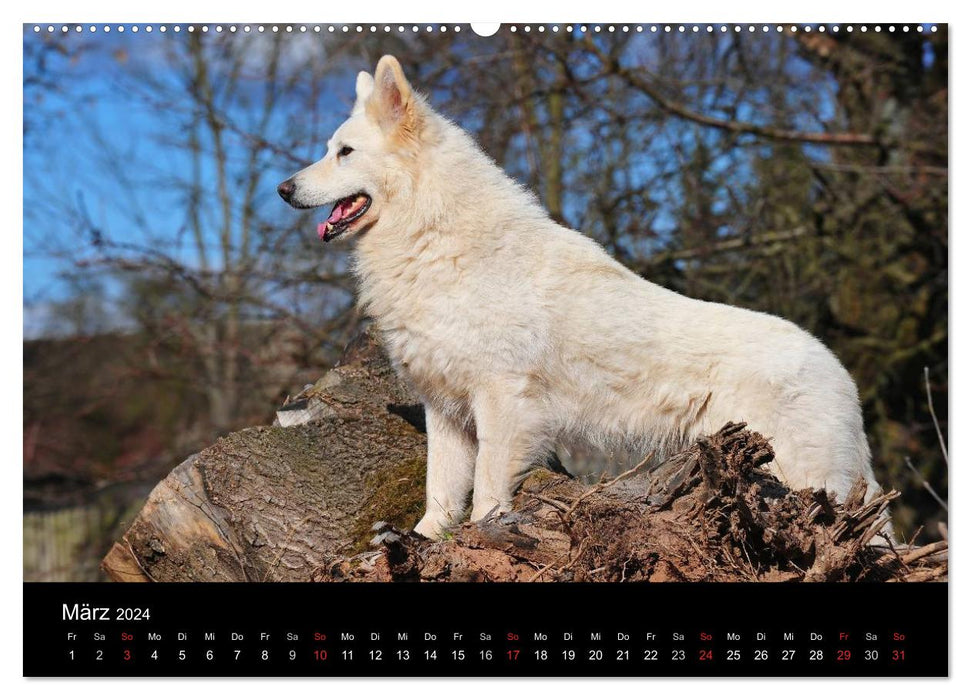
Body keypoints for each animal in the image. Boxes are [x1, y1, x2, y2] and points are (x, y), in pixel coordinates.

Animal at [280, 56, 888, 540]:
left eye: (344, 152)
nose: (284, 190)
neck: (432, 234)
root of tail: (838, 371)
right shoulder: (445, 408)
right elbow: (441, 488)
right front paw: (426, 538)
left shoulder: (503, 401)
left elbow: (486, 488)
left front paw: (480, 533)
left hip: (802, 477)